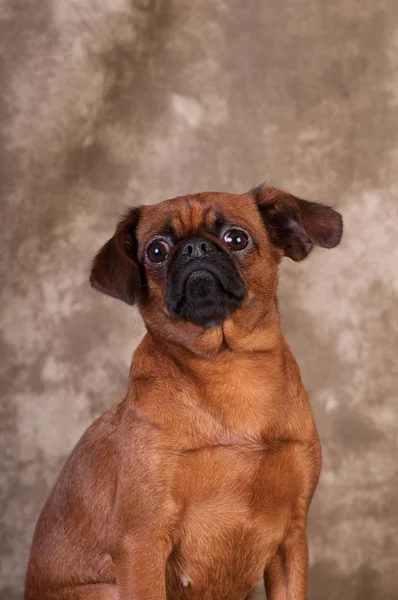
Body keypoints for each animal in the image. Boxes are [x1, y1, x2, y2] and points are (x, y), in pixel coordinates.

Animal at [24, 184, 342, 600]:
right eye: (156, 251)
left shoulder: (292, 538)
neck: (227, 369)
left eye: (236, 238)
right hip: (105, 590)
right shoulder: (142, 544)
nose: (194, 248)